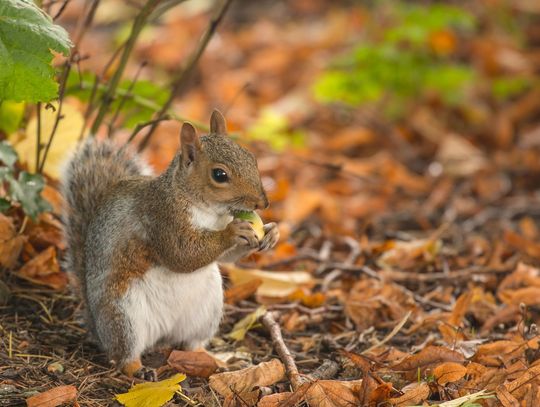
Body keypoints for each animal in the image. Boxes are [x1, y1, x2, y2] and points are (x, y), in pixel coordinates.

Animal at [62, 111, 278, 380]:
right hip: (124, 315)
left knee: (192, 344)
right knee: (124, 354)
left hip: (205, 311)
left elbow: (226, 258)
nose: (263, 203)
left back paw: (215, 359)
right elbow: (181, 254)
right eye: (220, 175)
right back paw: (139, 370)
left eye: (251, 158)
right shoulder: (161, 218)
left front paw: (271, 232)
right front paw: (233, 232)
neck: (208, 210)